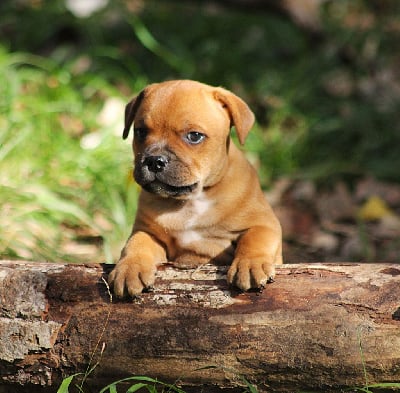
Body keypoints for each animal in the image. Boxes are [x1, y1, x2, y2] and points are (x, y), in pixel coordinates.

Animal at [108, 79, 282, 298]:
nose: (154, 161)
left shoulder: (265, 223)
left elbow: (255, 238)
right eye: (140, 132)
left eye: (194, 136)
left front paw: (251, 265)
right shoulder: (148, 231)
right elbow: (136, 243)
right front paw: (129, 268)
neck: (192, 201)